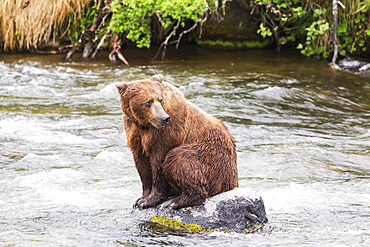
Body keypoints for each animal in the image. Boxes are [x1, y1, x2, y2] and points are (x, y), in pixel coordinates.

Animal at [117, 74, 238, 209]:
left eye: (160, 100)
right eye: (148, 102)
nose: (164, 118)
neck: (145, 124)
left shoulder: (169, 130)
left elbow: (159, 161)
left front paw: (149, 200)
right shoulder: (134, 132)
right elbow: (142, 164)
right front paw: (140, 199)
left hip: (212, 157)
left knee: (179, 158)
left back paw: (178, 201)